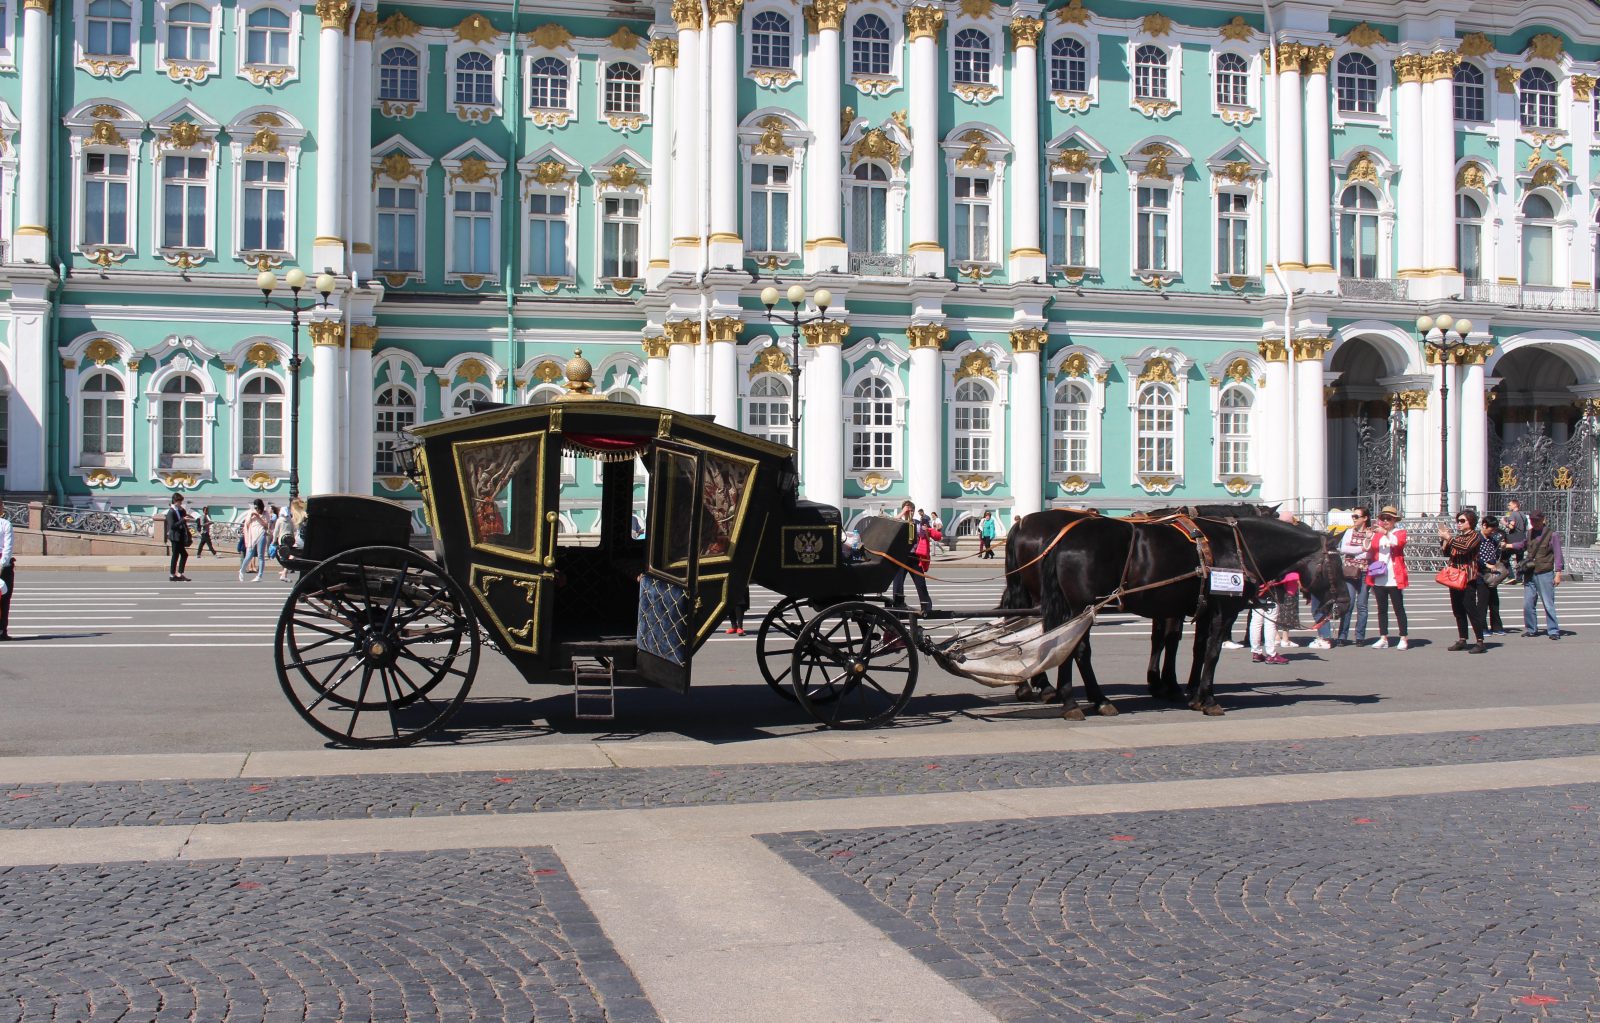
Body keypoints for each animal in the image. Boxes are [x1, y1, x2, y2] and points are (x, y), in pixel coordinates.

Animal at [1030, 512, 1356, 720]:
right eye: (1336, 564)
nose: (1343, 603)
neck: (1234, 547)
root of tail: (1063, 539)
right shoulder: (1224, 611)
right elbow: (1212, 651)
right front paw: (1207, 699)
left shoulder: (1204, 610)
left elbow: (1199, 650)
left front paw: (1194, 694)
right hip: (1081, 609)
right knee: (1077, 650)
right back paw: (1084, 701)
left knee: (1065, 647)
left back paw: (1080, 700)